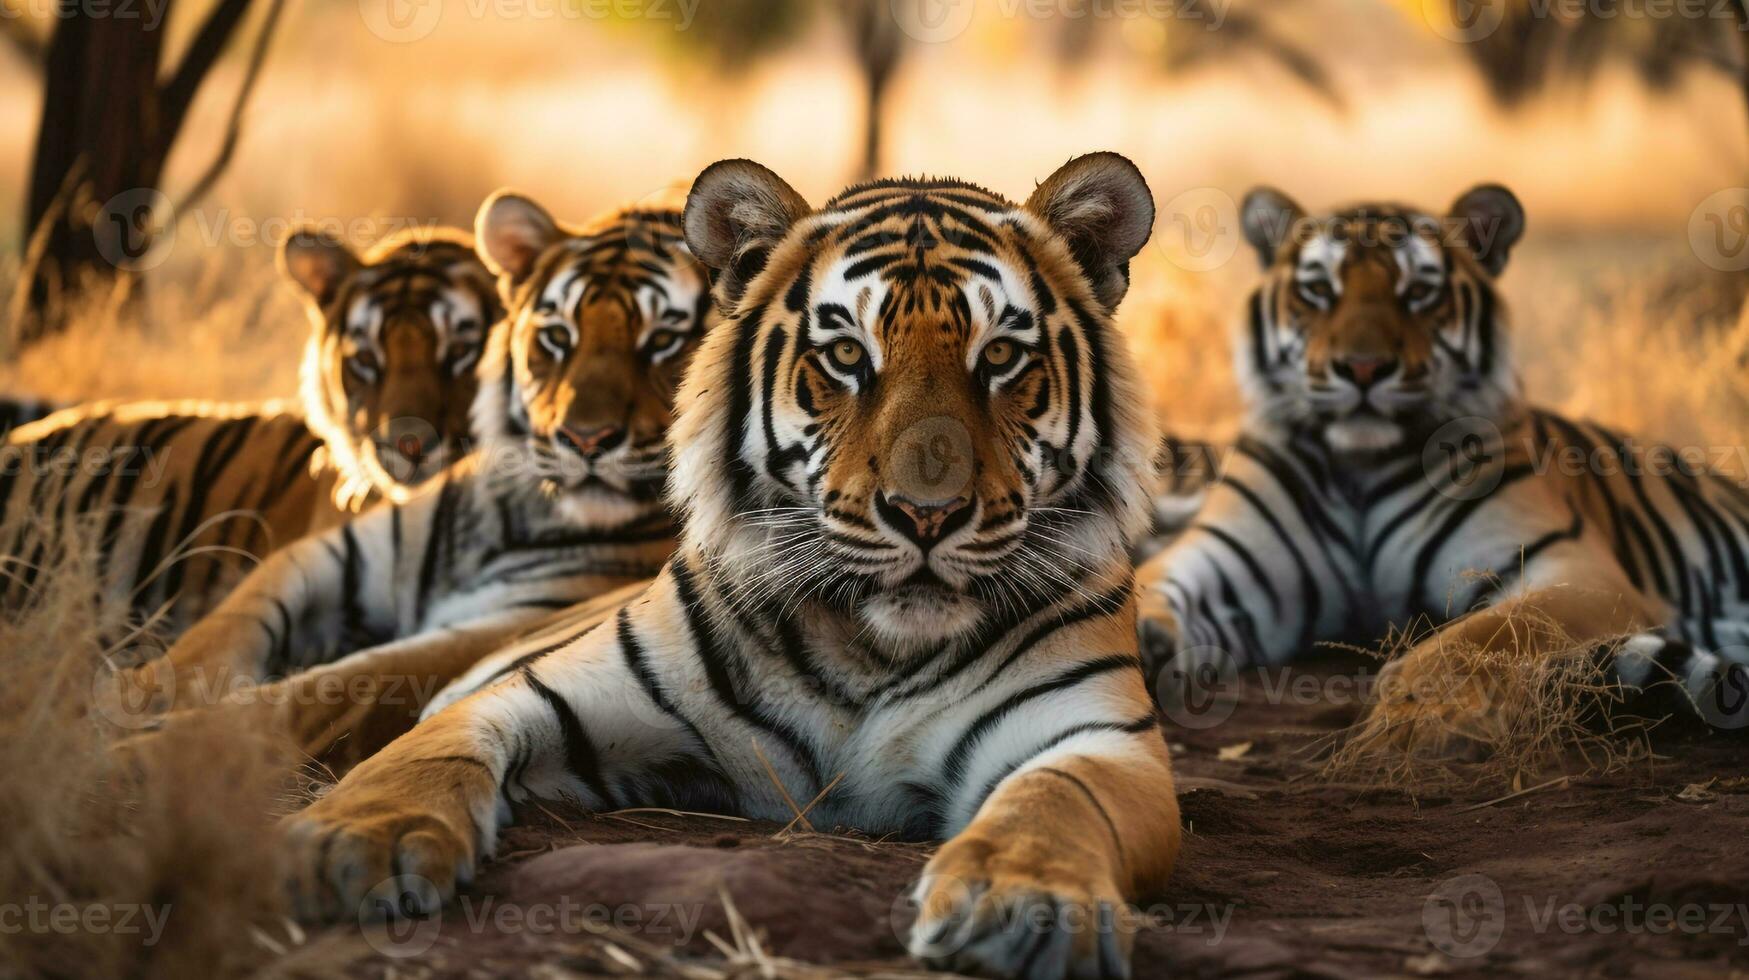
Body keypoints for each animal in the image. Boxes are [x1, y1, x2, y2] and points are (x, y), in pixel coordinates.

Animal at [132, 187, 713, 763]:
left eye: (665, 341)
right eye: (557, 336)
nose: (585, 439)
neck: (518, 509)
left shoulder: (513, 615)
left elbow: (329, 690)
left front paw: (149, 749)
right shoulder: (343, 553)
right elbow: (225, 626)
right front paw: (140, 691)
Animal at [258, 154, 1182, 980]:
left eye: (998, 359)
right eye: (847, 356)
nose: (927, 514)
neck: (872, 649)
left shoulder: (1096, 738)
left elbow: (1053, 807)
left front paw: (1024, 906)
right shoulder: (544, 689)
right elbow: (421, 758)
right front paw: (348, 844)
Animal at [1133, 182, 1749, 749]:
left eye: (1419, 293)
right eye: (1319, 291)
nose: (1363, 368)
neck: (1358, 466)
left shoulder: (1577, 572)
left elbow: (1484, 635)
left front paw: (1416, 713)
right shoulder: (1225, 564)